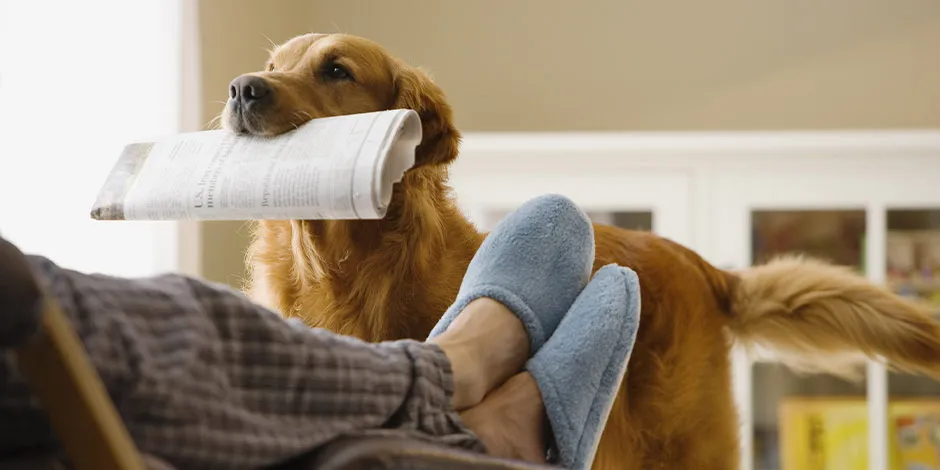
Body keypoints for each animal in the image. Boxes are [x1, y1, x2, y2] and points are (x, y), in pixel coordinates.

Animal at [222, 32, 940, 466]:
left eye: (336, 70)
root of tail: (703, 267)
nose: (241, 88)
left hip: (681, 445)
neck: (345, 263)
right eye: (275, 65)